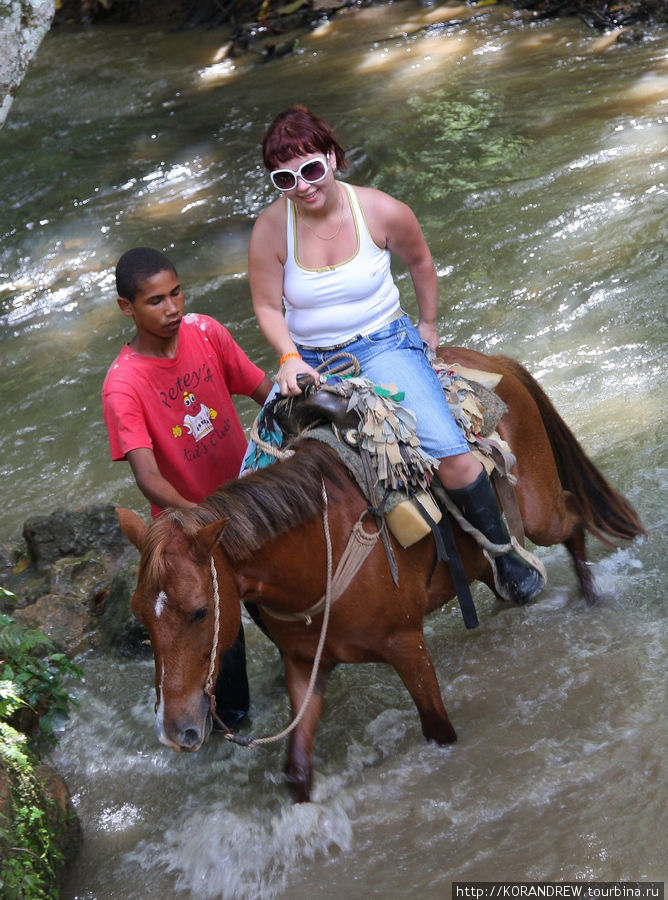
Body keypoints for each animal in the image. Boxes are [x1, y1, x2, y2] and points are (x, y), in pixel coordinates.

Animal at [117, 350, 644, 800]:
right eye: (142, 619)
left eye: (200, 612)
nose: (176, 731)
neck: (318, 551)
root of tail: (495, 361)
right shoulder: (305, 667)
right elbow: (297, 770)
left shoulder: (407, 645)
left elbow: (439, 729)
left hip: (539, 511)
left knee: (573, 523)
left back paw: (592, 596)